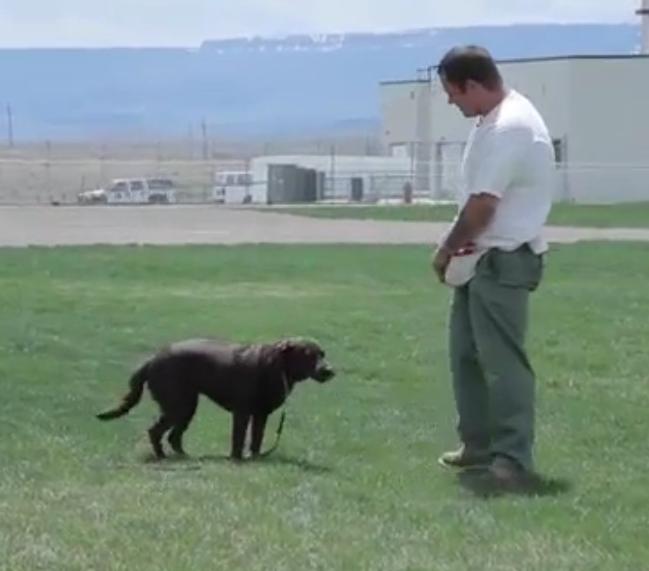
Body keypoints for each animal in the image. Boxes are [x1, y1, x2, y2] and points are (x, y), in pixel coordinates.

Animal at [96, 340, 334, 460]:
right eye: (308, 354)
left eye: (322, 353)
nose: (329, 370)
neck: (276, 366)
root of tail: (153, 359)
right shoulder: (242, 412)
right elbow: (238, 438)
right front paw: (237, 458)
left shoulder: (261, 414)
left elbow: (256, 439)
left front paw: (255, 457)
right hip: (179, 405)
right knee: (156, 431)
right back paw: (163, 457)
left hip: (187, 406)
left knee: (173, 436)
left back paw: (184, 456)